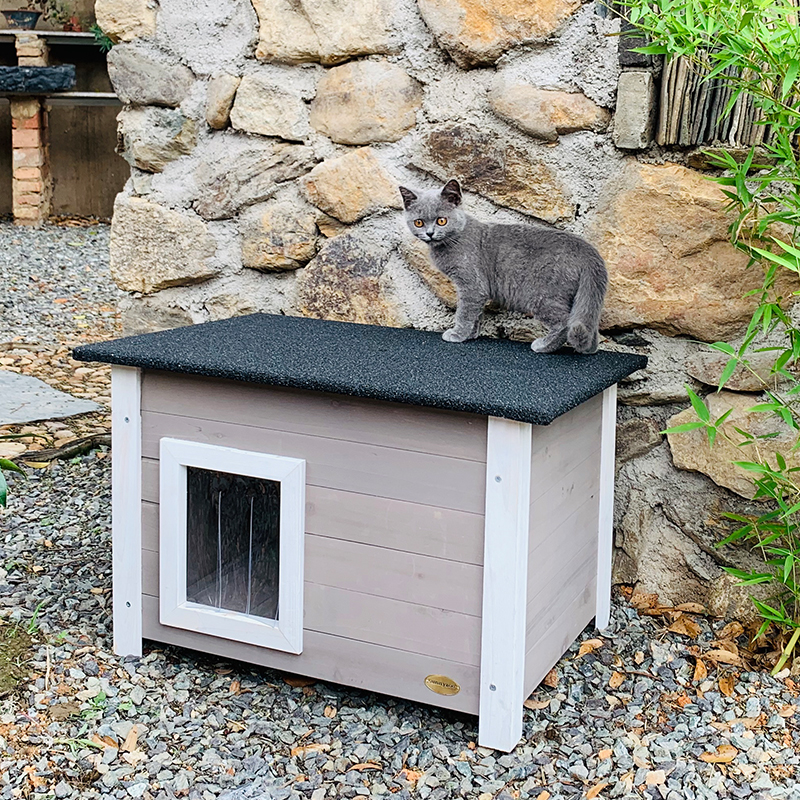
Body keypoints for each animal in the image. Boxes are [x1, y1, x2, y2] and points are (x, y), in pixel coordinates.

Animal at [400, 183, 608, 358]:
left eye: (442, 221)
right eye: (418, 223)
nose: (429, 233)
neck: (451, 242)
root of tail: (588, 251)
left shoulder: (471, 285)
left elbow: (465, 312)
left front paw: (458, 334)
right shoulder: (478, 290)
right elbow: (475, 313)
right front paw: (471, 334)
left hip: (543, 295)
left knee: (565, 324)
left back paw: (542, 346)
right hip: (581, 296)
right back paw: (589, 349)